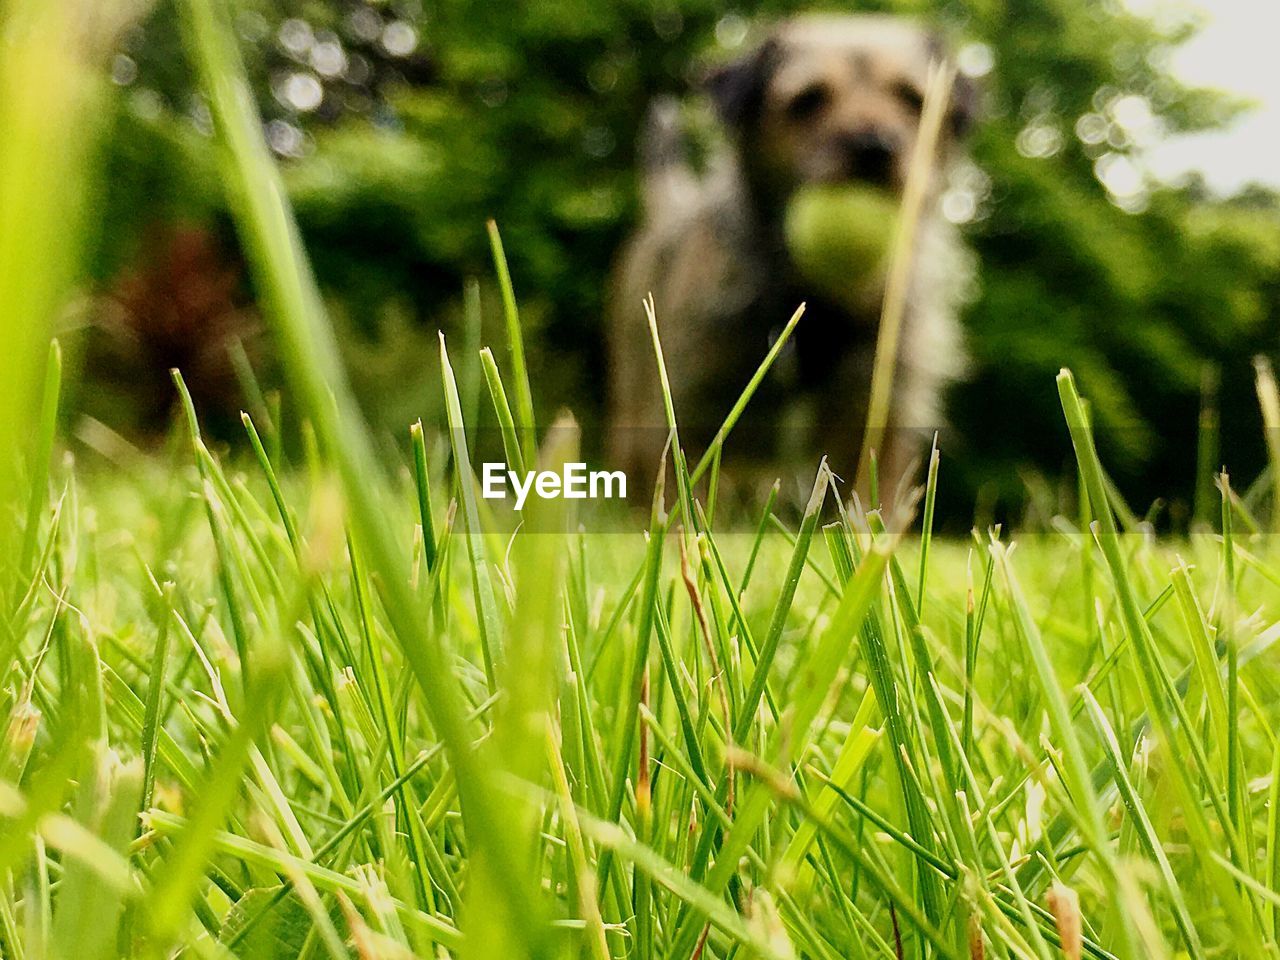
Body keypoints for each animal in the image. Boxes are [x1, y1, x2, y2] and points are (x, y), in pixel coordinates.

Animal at [604, 15, 972, 499]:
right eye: (807, 100)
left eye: (912, 99)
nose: (873, 146)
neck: (817, 302)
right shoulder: (693, 413)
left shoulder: (878, 423)